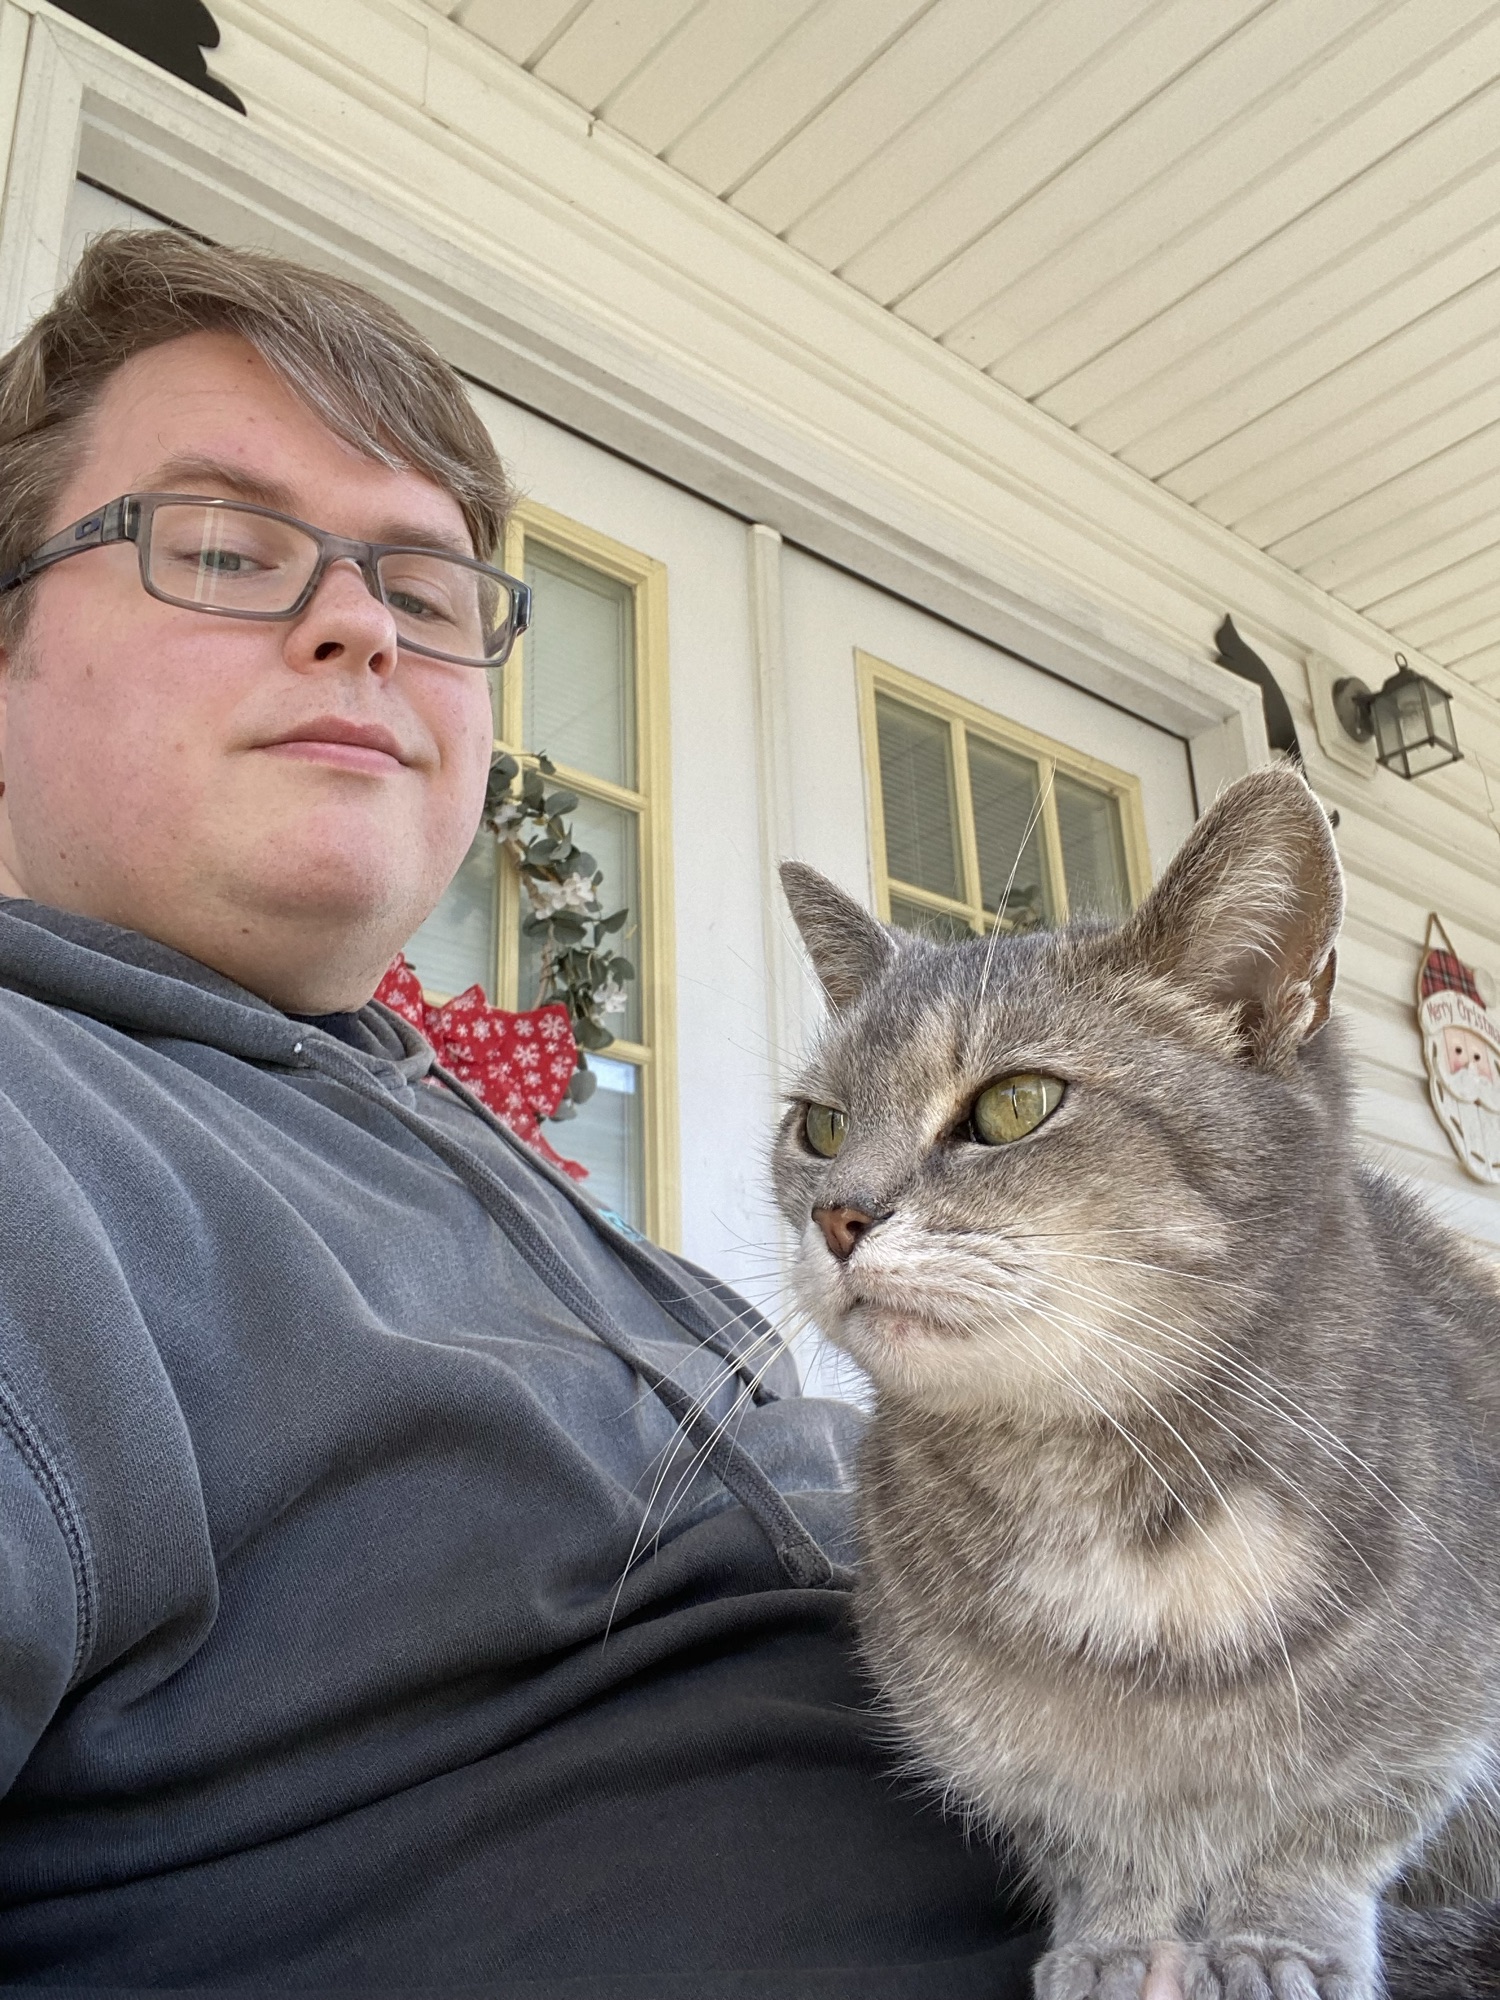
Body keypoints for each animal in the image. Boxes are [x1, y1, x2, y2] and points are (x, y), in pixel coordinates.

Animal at [772, 765, 1500, 2000]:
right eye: (818, 1126)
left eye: (1014, 1104)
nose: (837, 1216)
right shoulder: (1007, 1753)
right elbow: (1097, 1842)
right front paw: (1115, 1941)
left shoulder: (1438, 1715)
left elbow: (1329, 1826)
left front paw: (1277, 1941)